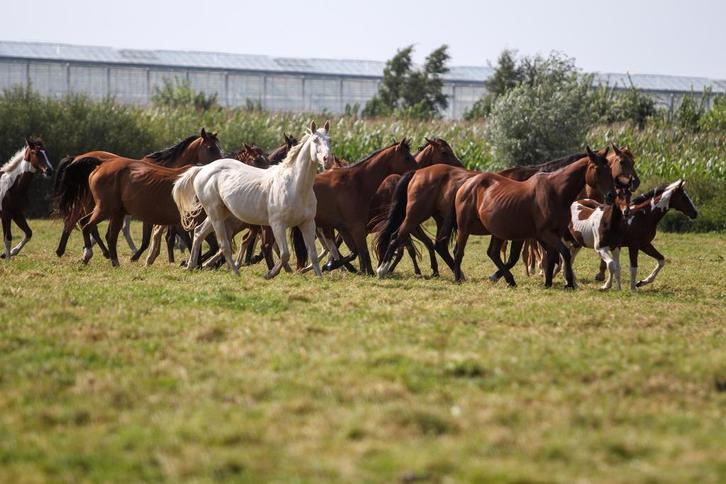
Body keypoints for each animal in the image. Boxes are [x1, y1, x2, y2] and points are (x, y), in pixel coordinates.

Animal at [55, 131, 223, 266]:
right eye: (211, 148)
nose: (222, 162)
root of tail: (99, 163)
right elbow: (168, 239)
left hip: (110, 210)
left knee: (99, 230)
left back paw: (106, 258)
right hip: (98, 206)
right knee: (79, 223)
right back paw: (79, 253)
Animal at [173, 121, 333, 278]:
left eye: (329, 140)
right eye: (315, 140)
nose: (328, 160)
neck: (294, 185)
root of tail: (203, 169)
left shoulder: (307, 223)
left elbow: (313, 254)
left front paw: (319, 277)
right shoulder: (277, 225)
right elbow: (284, 254)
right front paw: (270, 273)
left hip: (221, 213)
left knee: (198, 232)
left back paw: (191, 266)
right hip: (215, 214)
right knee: (223, 244)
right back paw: (235, 272)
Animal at [451, 147, 615, 289]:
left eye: (609, 169)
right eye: (597, 169)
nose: (611, 195)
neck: (555, 192)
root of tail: (466, 185)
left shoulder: (553, 234)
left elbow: (553, 256)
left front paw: (548, 282)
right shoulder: (546, 234)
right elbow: (563, 254)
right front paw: (568, 283)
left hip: (497, 232)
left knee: (493, 253)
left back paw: (509, 280)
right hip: (464, 229)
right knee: (459, 252)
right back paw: (458, 279)